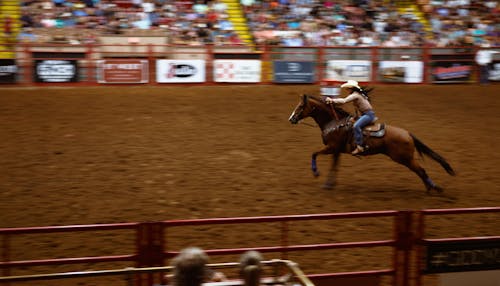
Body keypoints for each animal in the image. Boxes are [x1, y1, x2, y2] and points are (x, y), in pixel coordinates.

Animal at [288, 94, 456, 192]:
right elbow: (334, 166)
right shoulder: (336, 150)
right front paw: (329, 184)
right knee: (421, 171)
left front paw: (316, 173)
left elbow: (314, 154)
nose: (291, 119)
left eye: (301, 106)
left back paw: (432, 187)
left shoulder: (331, 147)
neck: (334, 122)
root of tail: (407, 133)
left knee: (421, 170)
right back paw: (430, 187)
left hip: (404, 158)